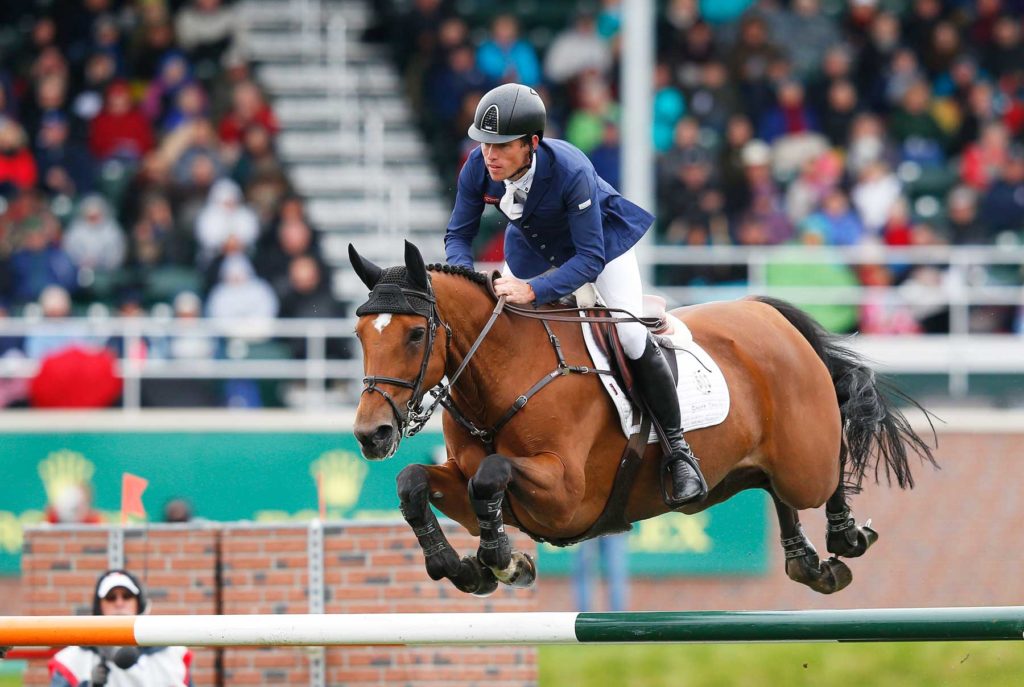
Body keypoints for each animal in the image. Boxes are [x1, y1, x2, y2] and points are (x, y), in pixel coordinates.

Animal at [350, 241, 937, 597]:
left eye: (416, 334)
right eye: (359, 335)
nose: (371, 434)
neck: (502, 373)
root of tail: (772, 316)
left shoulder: (566, 496)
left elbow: (492, 476)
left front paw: (500, 559)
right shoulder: (473, 488)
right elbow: (414, 482)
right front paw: (467, 568)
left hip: (804, 458)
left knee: (826, 466)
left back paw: (845, 536)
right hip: (751, 466)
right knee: (775, 489)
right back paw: (807, 561)